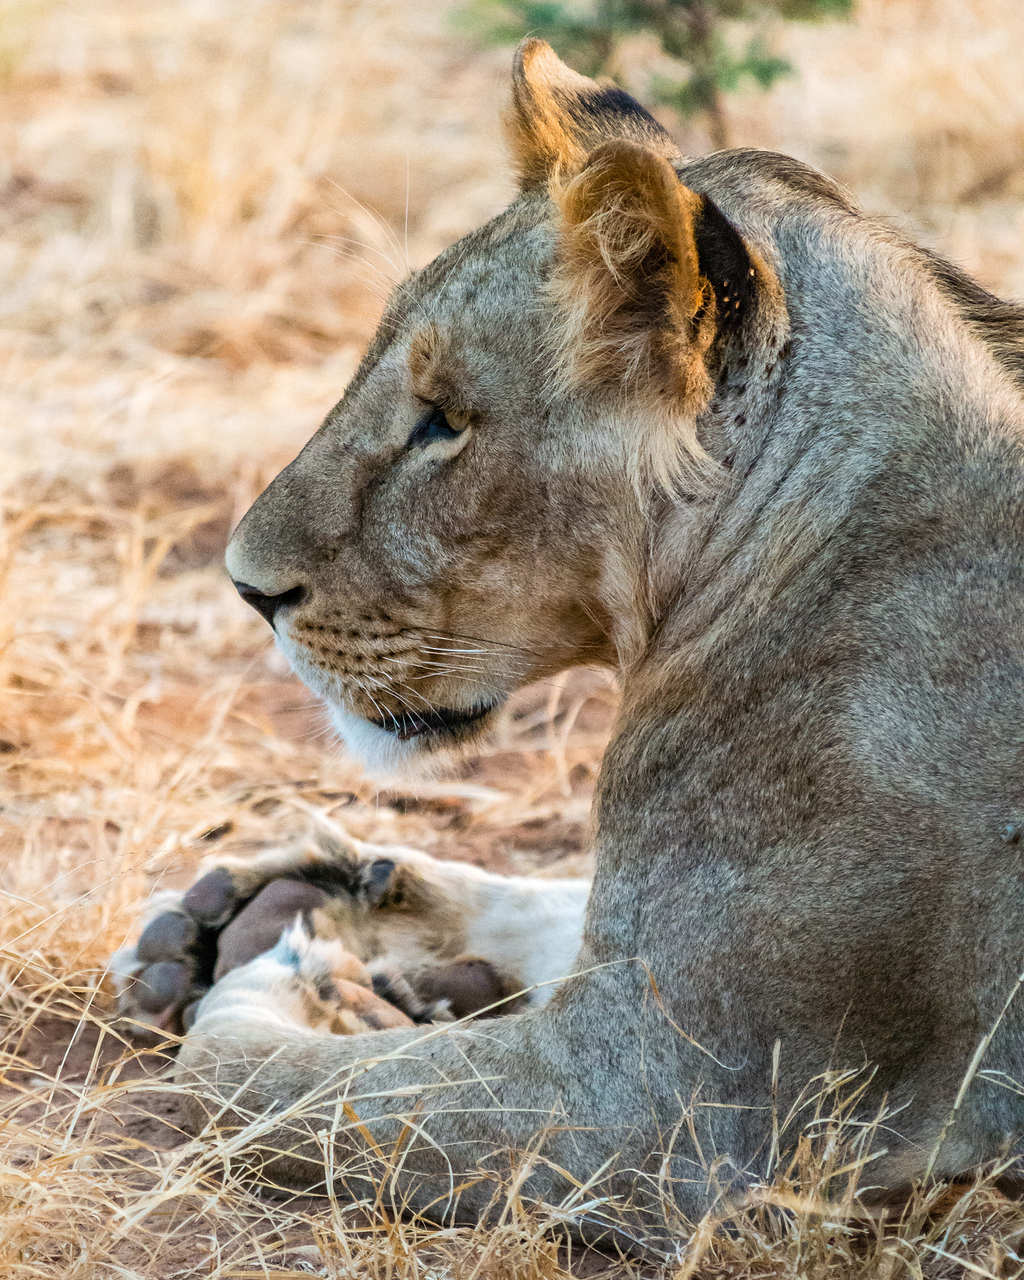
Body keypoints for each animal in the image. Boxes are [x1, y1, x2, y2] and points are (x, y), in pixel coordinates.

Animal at [129, 42, 1024, 1249]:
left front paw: (291, 981)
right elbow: (548, 898)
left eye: (442, 419)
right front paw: (282, 892)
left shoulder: (657, 1106)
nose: (245, 586)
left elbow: (264, 1079)